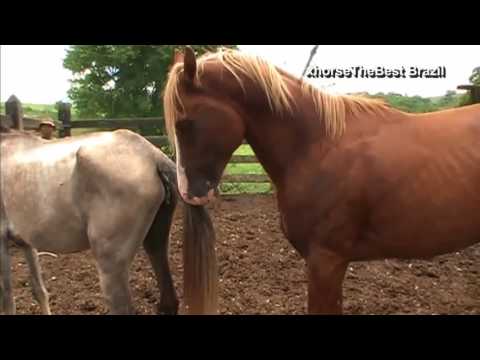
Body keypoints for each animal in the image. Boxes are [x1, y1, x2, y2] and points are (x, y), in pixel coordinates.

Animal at [0, 127, 218, 316]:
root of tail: (153, 156)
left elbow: (7, 297)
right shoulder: (26, 243)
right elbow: (38, 290)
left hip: (110, 264)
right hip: (156, 242)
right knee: (168, 300)